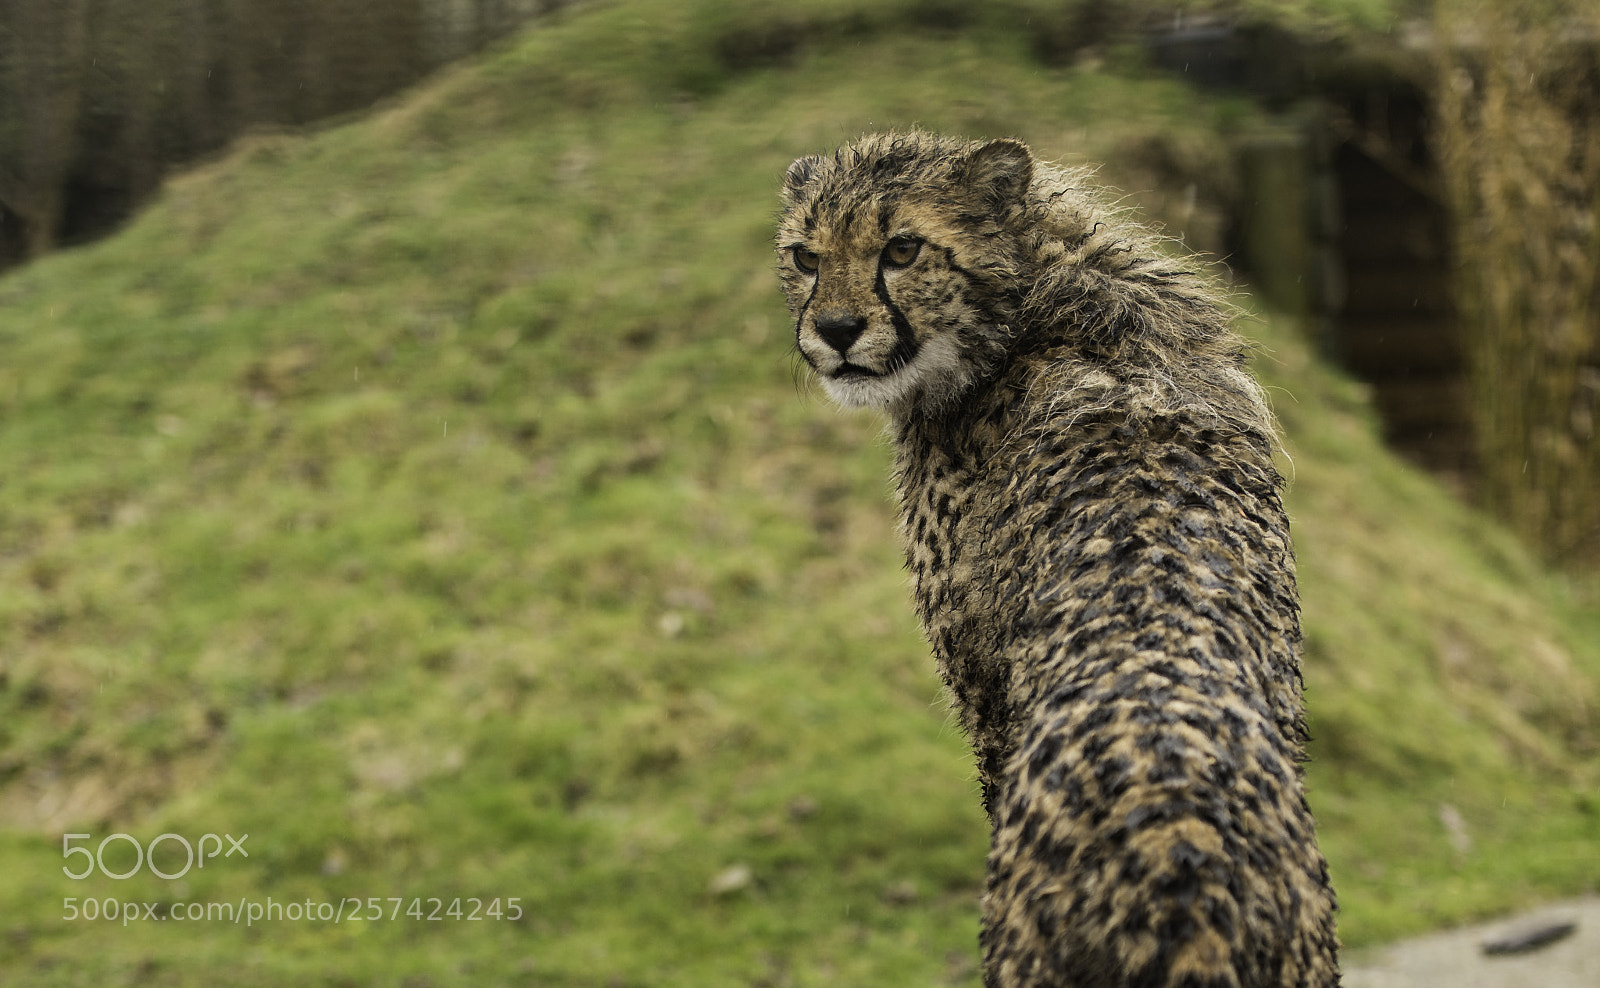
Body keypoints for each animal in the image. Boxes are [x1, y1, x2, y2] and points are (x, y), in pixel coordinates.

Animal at [774, 131, 1340, 988]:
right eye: (806, 256)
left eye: (902, 249)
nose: (835, 330)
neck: (1033, 305)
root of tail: (1182, 853)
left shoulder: (982, 696)